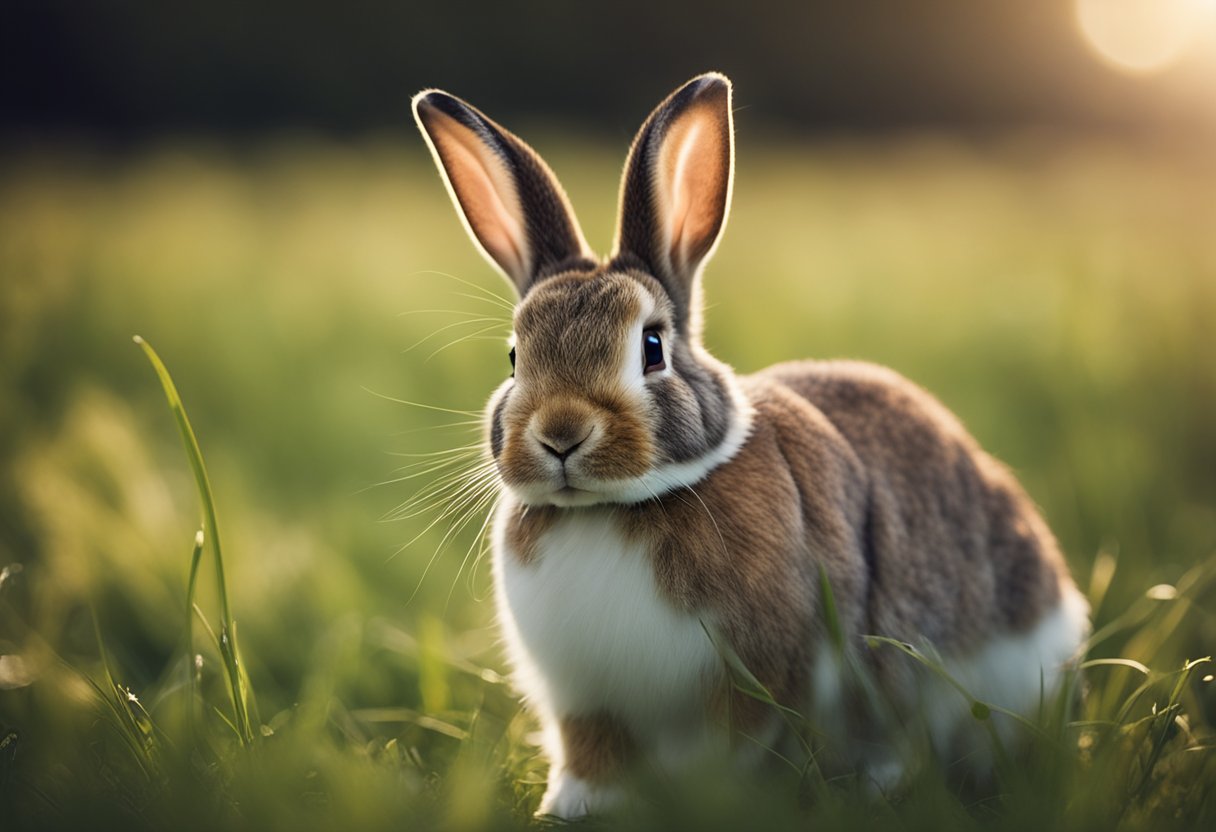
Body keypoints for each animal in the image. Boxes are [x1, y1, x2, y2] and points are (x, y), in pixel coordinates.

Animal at [413, 71, 1089, 817]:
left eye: (652, 348)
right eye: (513, 358)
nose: (561, 434)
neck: (609, 510)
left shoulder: (760, 675)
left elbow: (738, 744)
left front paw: (717, 802)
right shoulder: (583, 702)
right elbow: (591, 754)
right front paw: (573, 809)